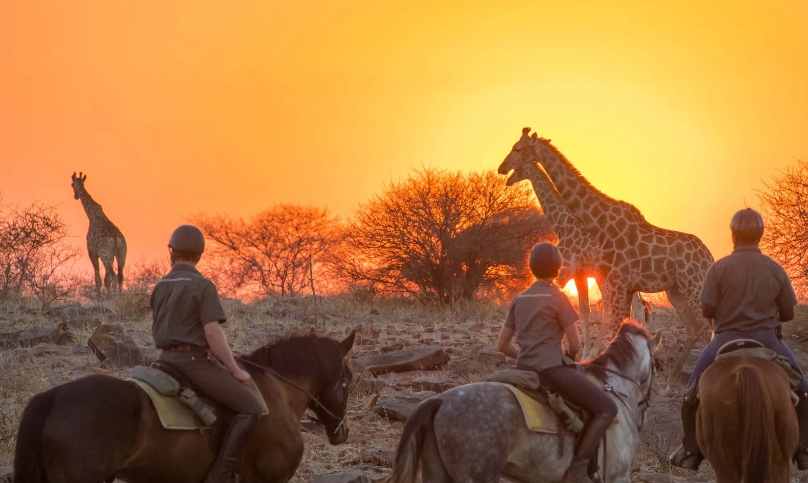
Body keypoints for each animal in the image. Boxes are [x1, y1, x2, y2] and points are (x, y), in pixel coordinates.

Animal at [384, 321, 662, 483]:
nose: (644, 413)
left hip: (438, 473)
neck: (615, 388)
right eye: (656, 366)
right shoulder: (618, 476)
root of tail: (439, 400)